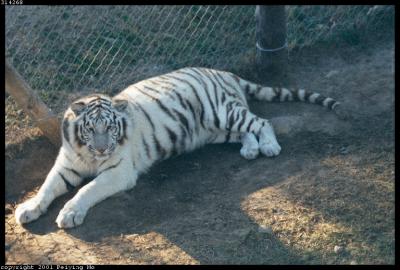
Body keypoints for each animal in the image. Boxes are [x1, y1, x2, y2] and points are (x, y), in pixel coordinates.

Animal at [14, 67, 340, 228]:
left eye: (110, 128)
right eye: (91, 129)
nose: (103, 149)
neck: (87, 154)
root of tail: (223, 72)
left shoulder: (118, 172)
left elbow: (87, 190)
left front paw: (70, 214)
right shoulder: (66, 166)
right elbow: (46, 187)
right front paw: (29, 209)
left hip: (221, 111)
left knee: (261, 122)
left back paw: (270, 147)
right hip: (214, 129)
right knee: (245, 132)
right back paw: (250, 150)